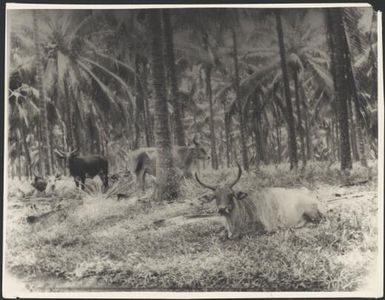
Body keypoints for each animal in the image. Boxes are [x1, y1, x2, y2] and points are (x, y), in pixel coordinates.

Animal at [195, 163, 324, 240]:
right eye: (215, 196)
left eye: (230, 194)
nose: (222, 209)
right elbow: (221, 234)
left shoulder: (260, 227)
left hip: (312, 213)